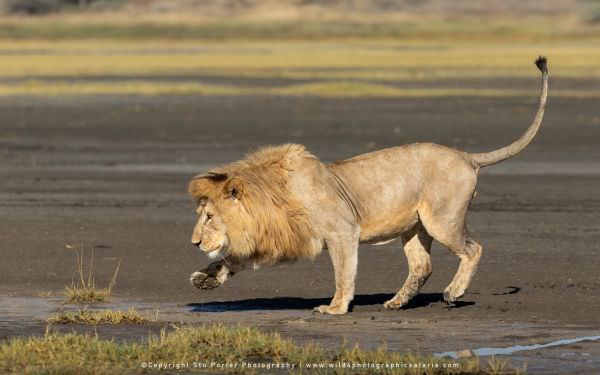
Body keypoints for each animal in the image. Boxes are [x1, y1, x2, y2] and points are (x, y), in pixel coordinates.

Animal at [188, 56, 548, 314]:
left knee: (474, 249)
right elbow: (231, 259)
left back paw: (452, 292)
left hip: (443, 220)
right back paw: (396, 302)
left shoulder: (342, 231)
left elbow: (343, 272)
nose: (194, 243)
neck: (272, 198)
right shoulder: (279, 238)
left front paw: (335, 308)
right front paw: (205, 278)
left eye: (209, 217)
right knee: (422, 266)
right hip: (414, 228)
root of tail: (466, 155)